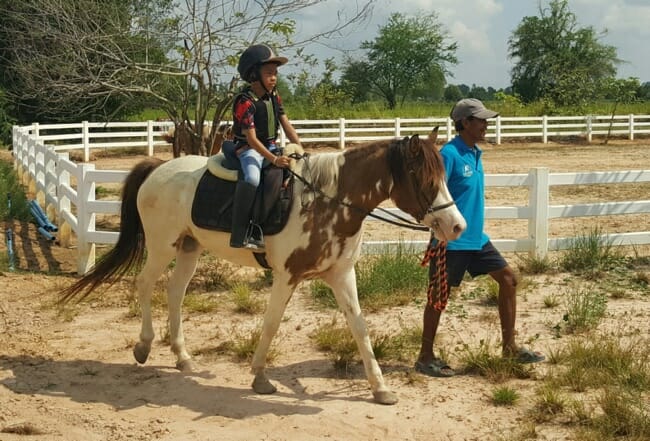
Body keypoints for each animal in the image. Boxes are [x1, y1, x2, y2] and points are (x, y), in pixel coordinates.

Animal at [60, 129, 464, 404]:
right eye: (426, 180)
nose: (457, 227)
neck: (327, 199)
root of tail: (158, 168)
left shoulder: (340, 275)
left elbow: (360, 328)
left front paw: (380, 388)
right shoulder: (287, 276)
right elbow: (270, 325)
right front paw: (259, 377)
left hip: (189, 248)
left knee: (175, 292)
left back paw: (183, 358)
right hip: (162, 246)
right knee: (145, 286)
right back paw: (144, 346)